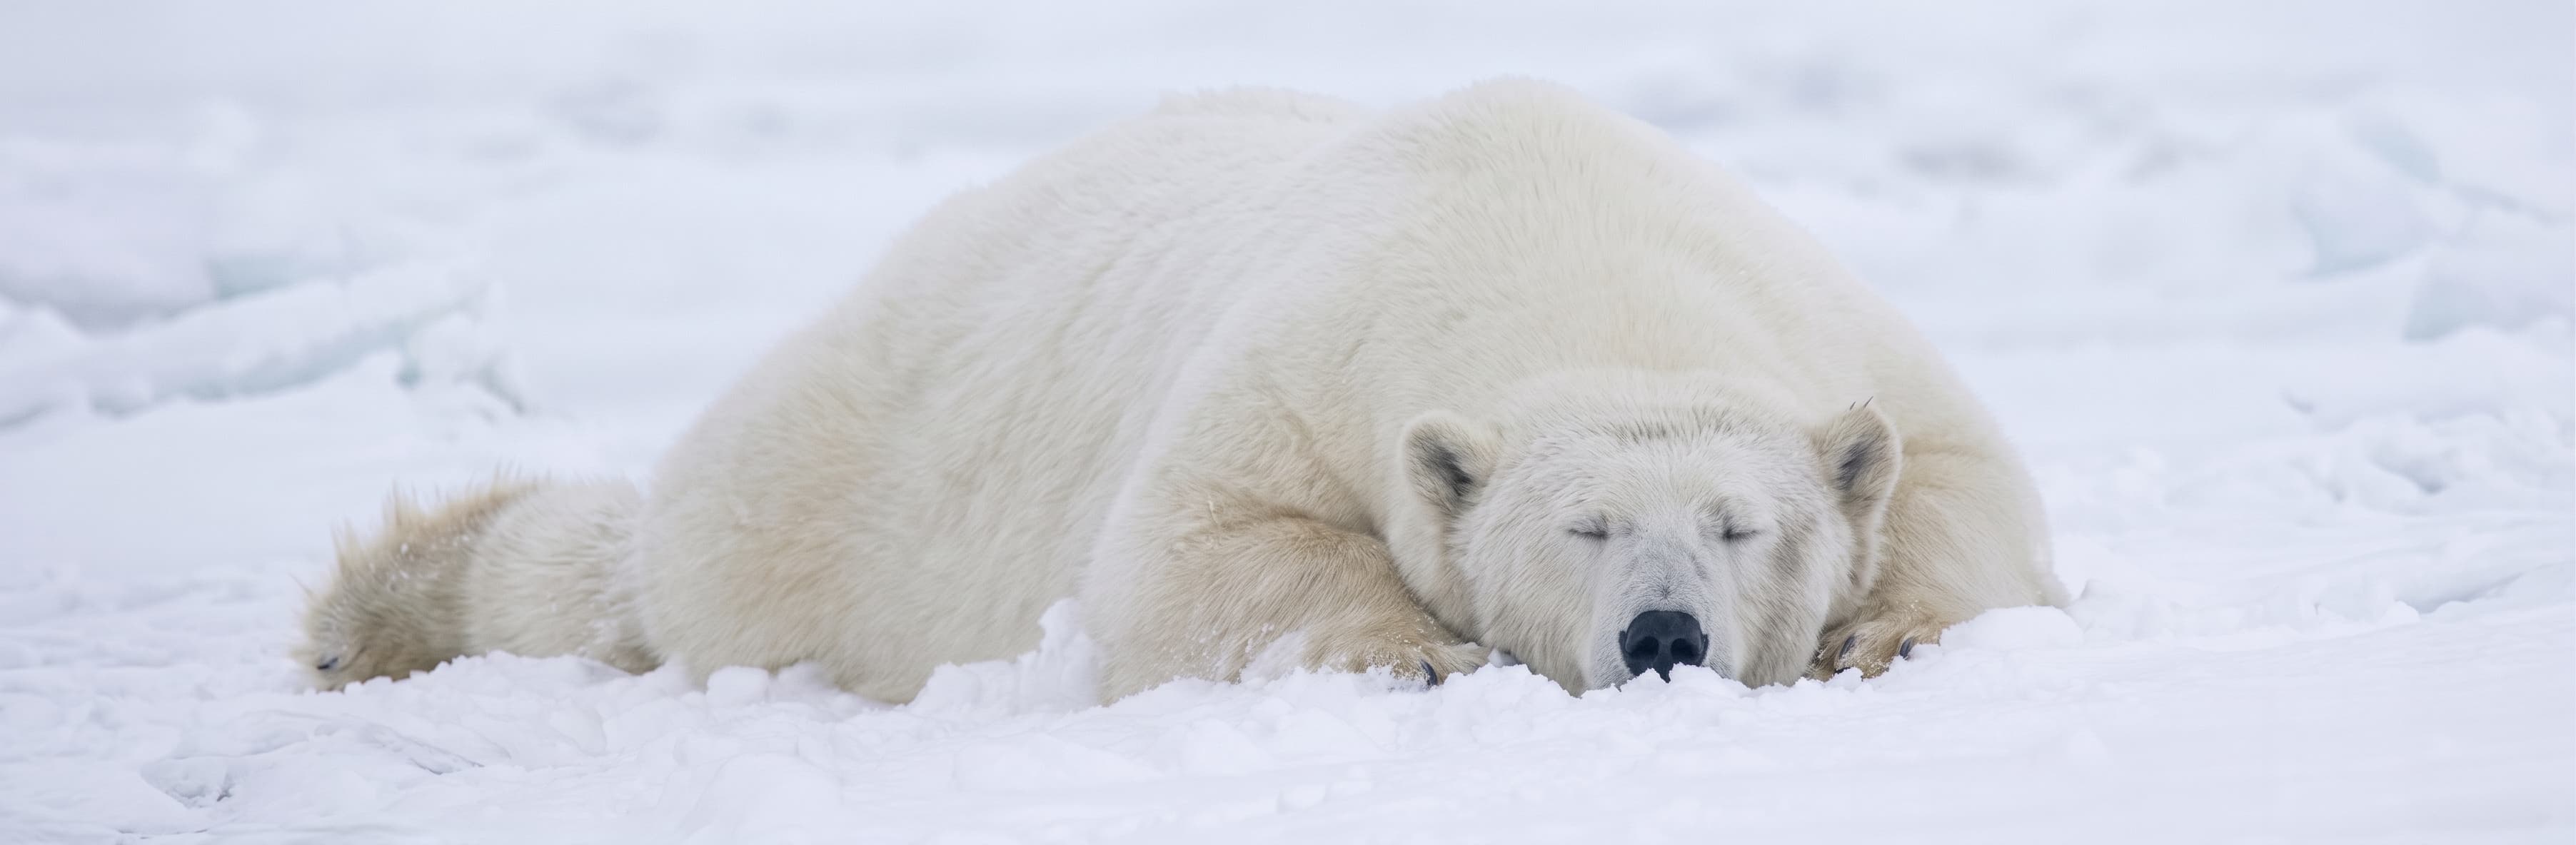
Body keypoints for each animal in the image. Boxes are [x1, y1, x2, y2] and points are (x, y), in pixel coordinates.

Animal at [299, 80, 2064, 702]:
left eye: (1739, 523)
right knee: (659, 569)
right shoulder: (1307, 360)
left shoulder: (1829, 324)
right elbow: (1190, 555)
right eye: (1582, 528)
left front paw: (1882, 630)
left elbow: (1965, 492)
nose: (1661, 633)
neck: (1567, 244)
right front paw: (1405, 651)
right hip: (827, 489)